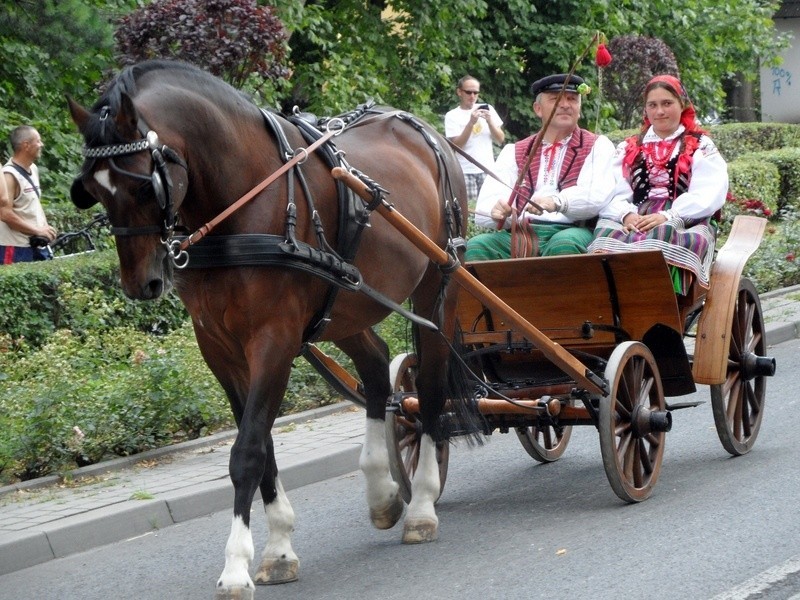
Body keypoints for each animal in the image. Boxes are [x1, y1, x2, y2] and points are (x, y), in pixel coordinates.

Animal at [69, 58, 468, 596]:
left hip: (436, 288)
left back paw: (422, 504)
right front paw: (279, 546)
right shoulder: (219, 348)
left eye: (142, 185)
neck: (241, 199)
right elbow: (261, 447)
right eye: (92, 191)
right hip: (346, 303)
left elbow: (247, 451)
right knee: (377, 365)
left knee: (428, 388)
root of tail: (422, 128)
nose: (141, 284)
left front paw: (238, 565)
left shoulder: (274, 340)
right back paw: (382, 492)